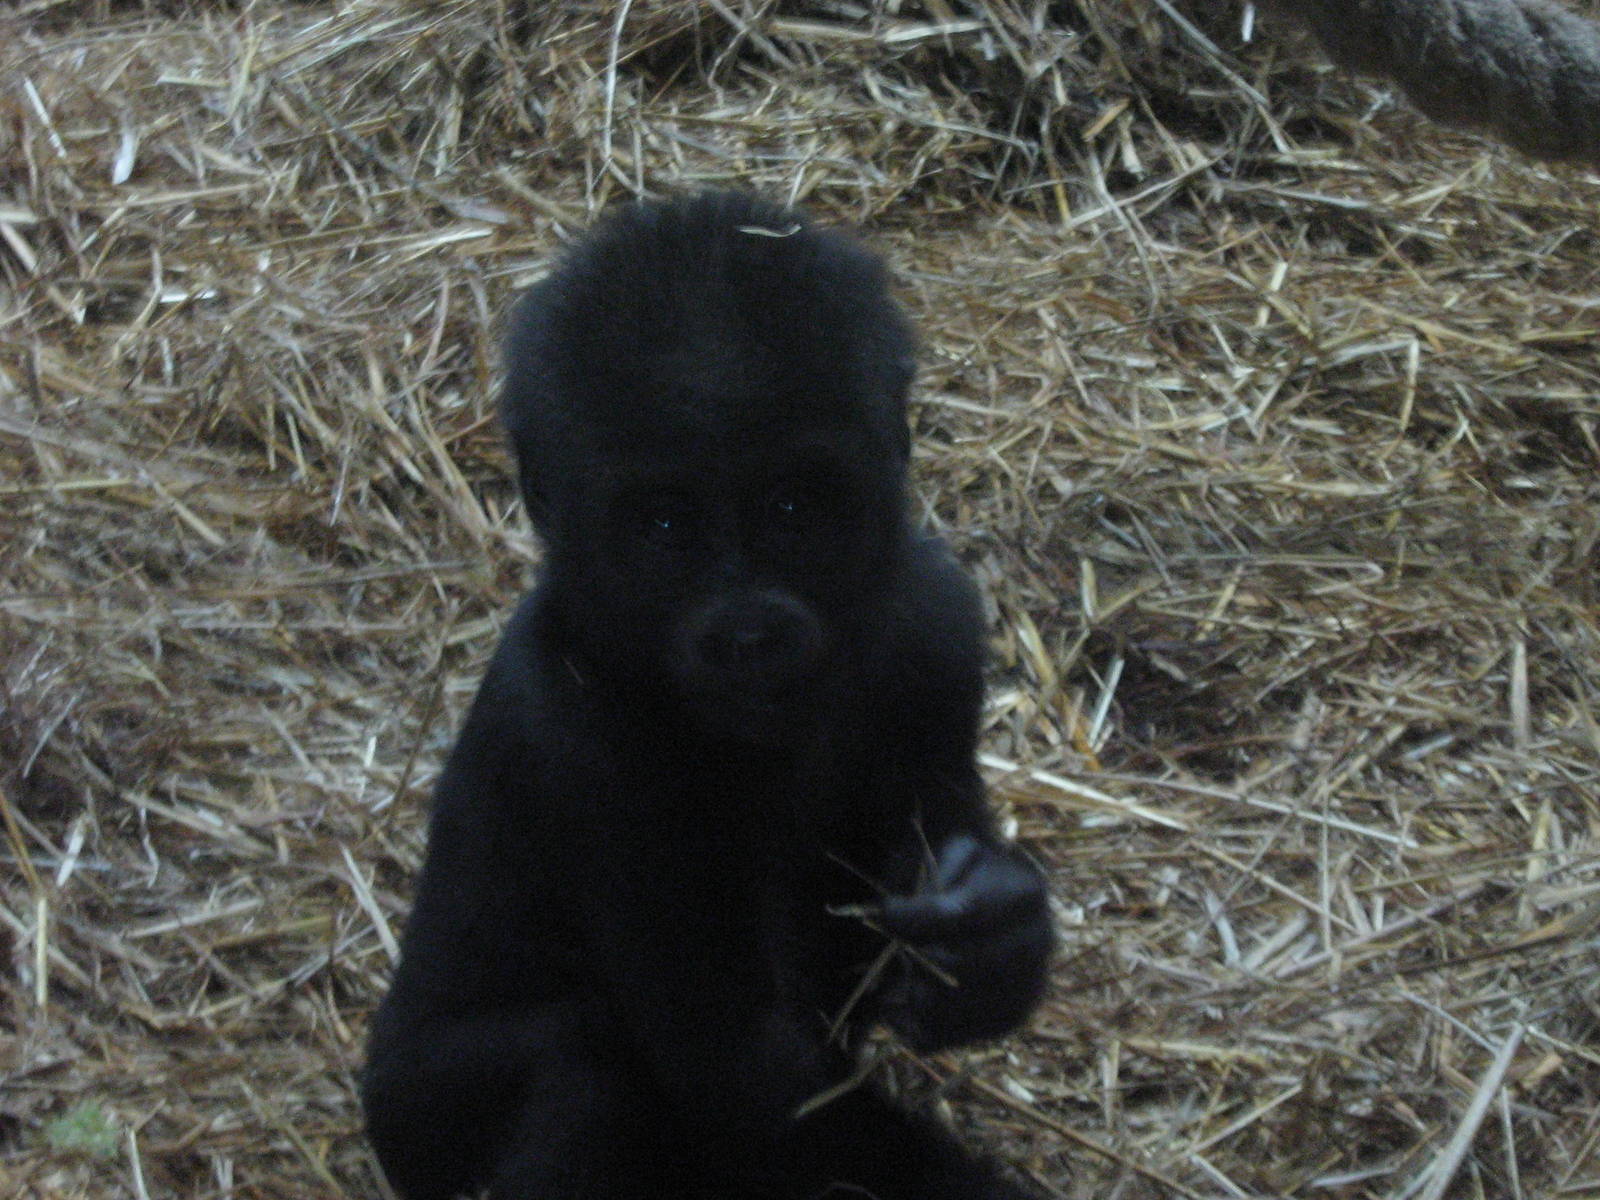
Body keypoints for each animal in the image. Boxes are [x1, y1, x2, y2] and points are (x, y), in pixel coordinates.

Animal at [361, 190, 1053, 1200]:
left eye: (795, 506)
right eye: (662, 526)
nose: (748, 632)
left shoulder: (936, 617)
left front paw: (994, 938)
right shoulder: (574, 741)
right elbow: (753, 1081)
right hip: (411, 1120)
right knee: (584, 1071)